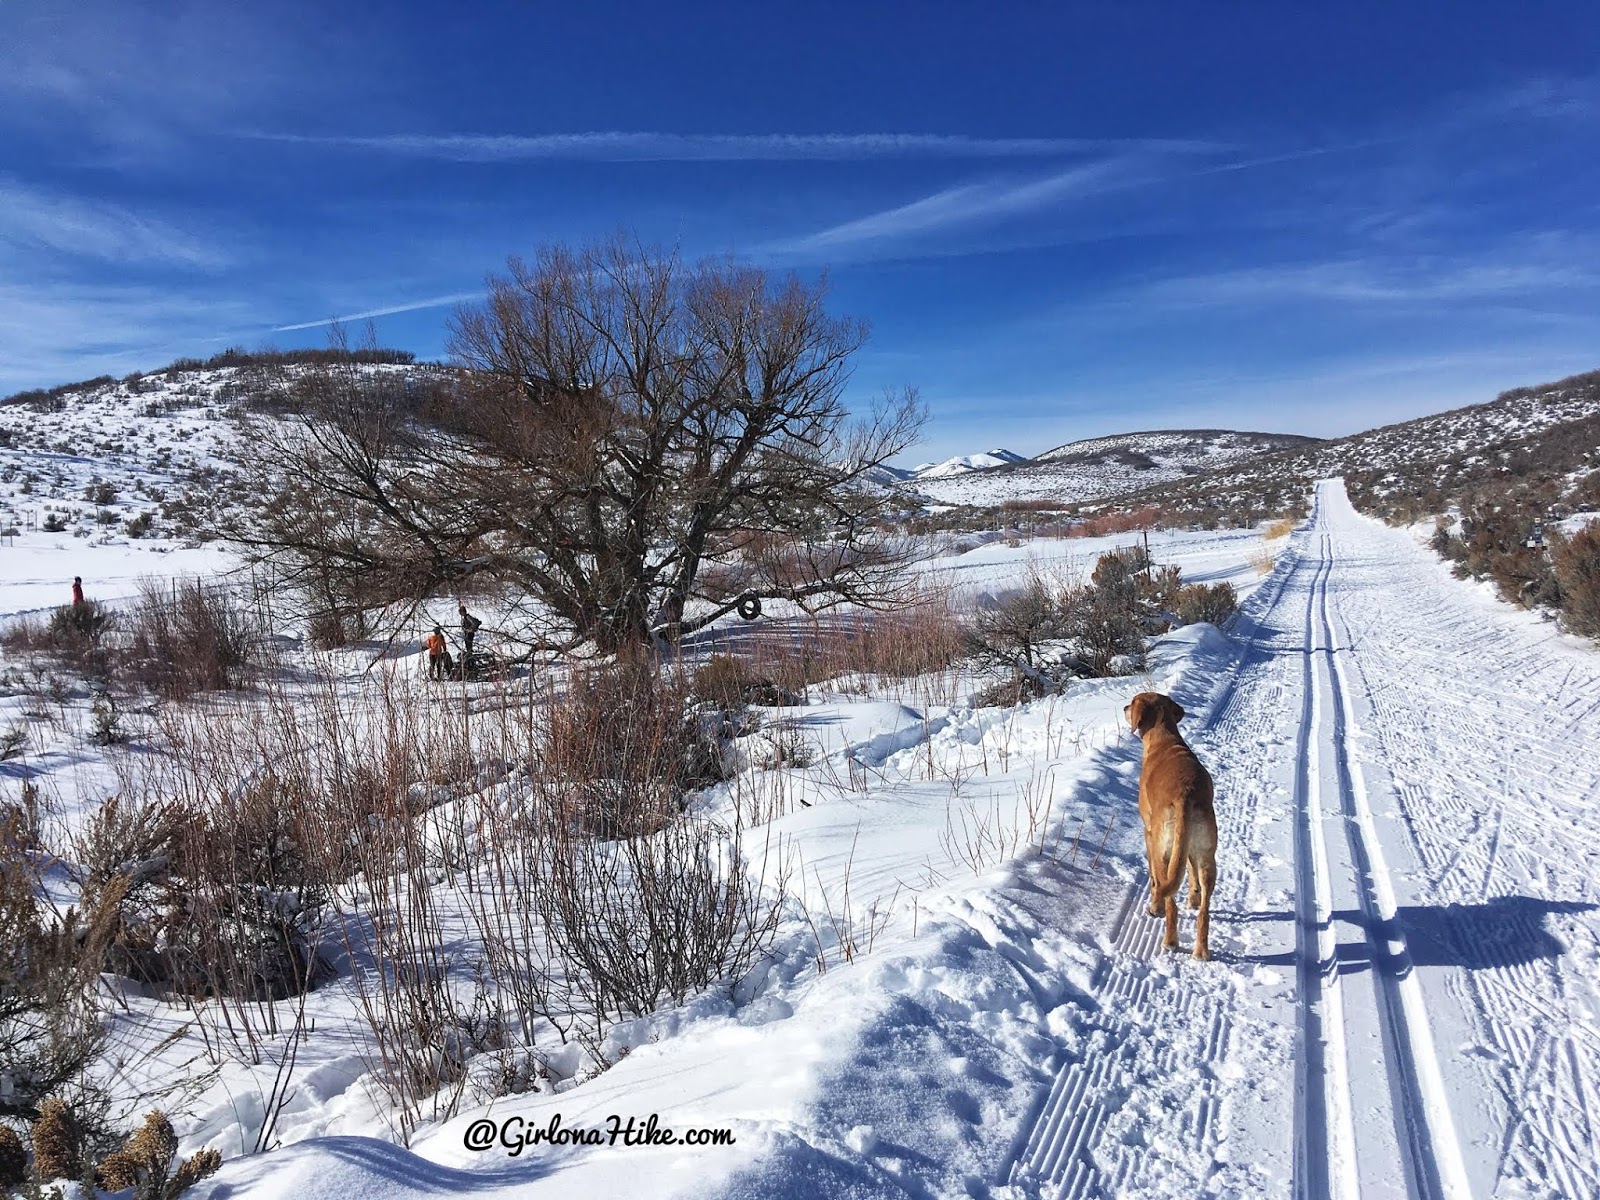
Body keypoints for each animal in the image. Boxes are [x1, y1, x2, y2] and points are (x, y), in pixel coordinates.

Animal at [1126, 694, 1209, 960]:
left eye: (1132, 702)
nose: (1125, 707)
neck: (1164, 738)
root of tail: (1185, 794)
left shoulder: (1149, 833)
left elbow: (1153, 875)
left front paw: (1156, 905)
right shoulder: (1189, 849)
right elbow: (1190, 873)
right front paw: (1193, 899)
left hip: (1164, 849)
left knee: (1169, 896)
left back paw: (1169, 937)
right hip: (1207, 854)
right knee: (1204, 909)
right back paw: (1201, 950)